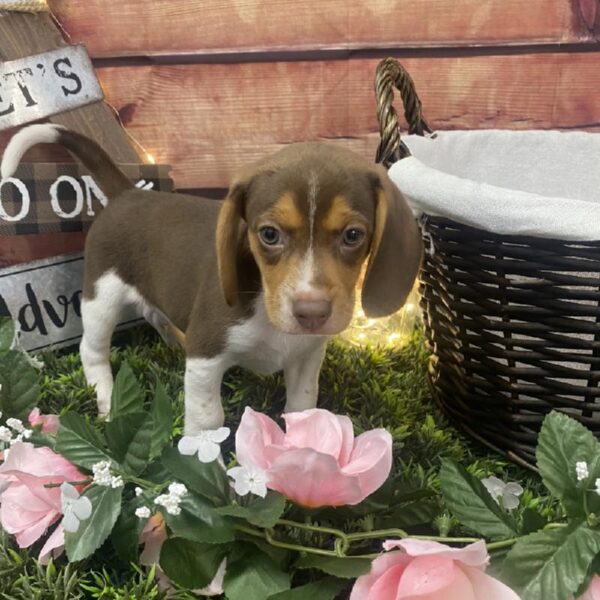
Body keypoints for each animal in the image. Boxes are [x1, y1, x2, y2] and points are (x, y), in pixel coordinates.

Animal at [1, 125, 422, 436]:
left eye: (353, 235)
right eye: (269, 234)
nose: (312, 312)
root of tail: (127, 195)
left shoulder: (307, 356)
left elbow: (302, 405)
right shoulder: (205, 356)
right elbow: (208, 421)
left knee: (154, 313)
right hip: (101, 296)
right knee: (92, 350)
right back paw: (106, 401)